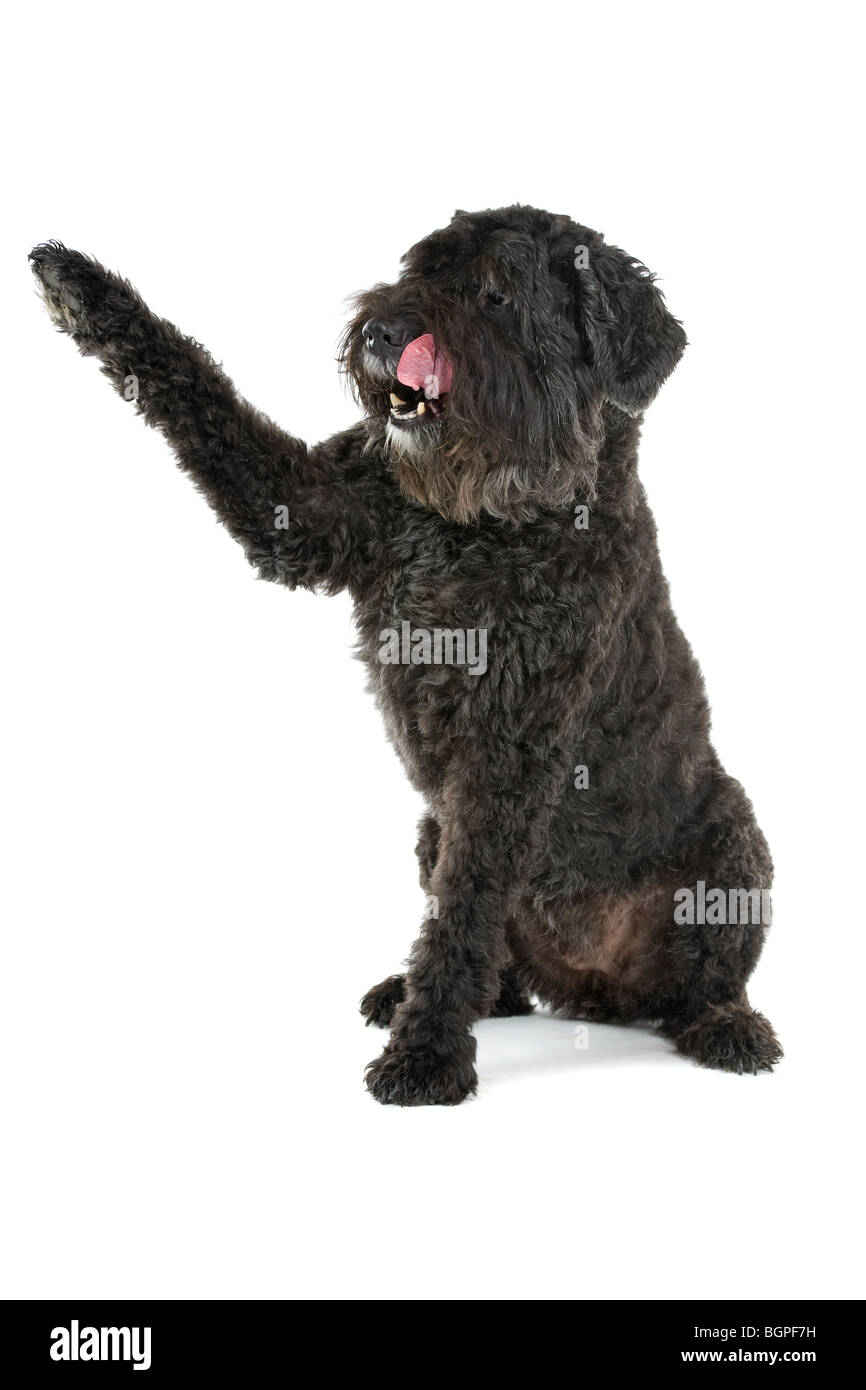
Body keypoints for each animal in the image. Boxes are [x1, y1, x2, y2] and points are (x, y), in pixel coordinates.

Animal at [30, 208, 783, 1106]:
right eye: (419, 270)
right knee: (502, 969)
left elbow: (463, 918)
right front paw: (81, 288)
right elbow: (207, 401)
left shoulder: (507, 756)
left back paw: (728, 1027)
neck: (488, 524)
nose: (383, 331)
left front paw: (425, 1055)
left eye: (497, 293)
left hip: (729, 839)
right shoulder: (311, 509)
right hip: (434, 829)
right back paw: (415, 990)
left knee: (703, 978)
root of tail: (596, 989)